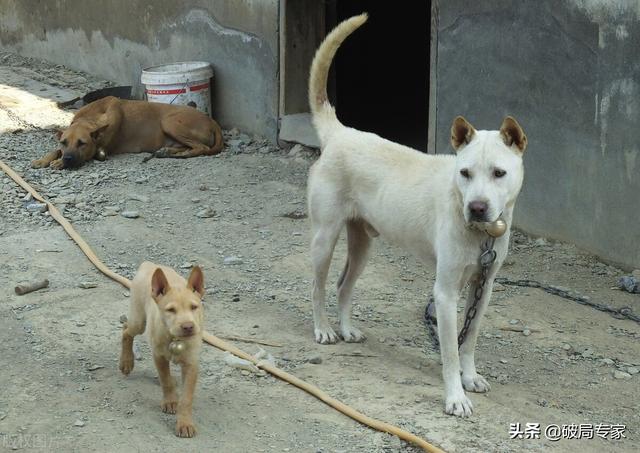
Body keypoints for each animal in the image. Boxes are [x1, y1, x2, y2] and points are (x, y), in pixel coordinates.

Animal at [31, 97, 224, 170]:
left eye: (82, 143)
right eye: (64, 142)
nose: (68, 159)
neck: (91, 118)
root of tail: (211, 121)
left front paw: (58, 162)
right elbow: (55, 150)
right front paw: (45, 159)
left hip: (169, 122)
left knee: (202, 148)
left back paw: (179, 155)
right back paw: (167, 152)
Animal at [119, 264, 205, 436]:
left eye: (194, 307)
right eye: (170, 310)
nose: (188, 327)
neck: (175, 338)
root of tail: (149, 264)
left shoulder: (191, 364)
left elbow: (186, 398)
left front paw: (185, 423)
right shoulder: (159, 357)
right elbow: (165, 380)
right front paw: (170, 401)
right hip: (139, 321)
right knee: (126, 330)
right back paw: (126, 362)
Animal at [308, 14, 528, 416]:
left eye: (499, 173)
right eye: (465, 173)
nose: (477, 208)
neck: (479, 232)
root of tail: (341, 133)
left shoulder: (483, 288)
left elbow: (469, 339)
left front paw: (471, 377)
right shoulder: (444, 294)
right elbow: (450, 351)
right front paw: (455, 396)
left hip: (362, 245)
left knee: (343, 285)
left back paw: (346, 329)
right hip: (324, 238)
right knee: (318, 286)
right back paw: (324, 329)